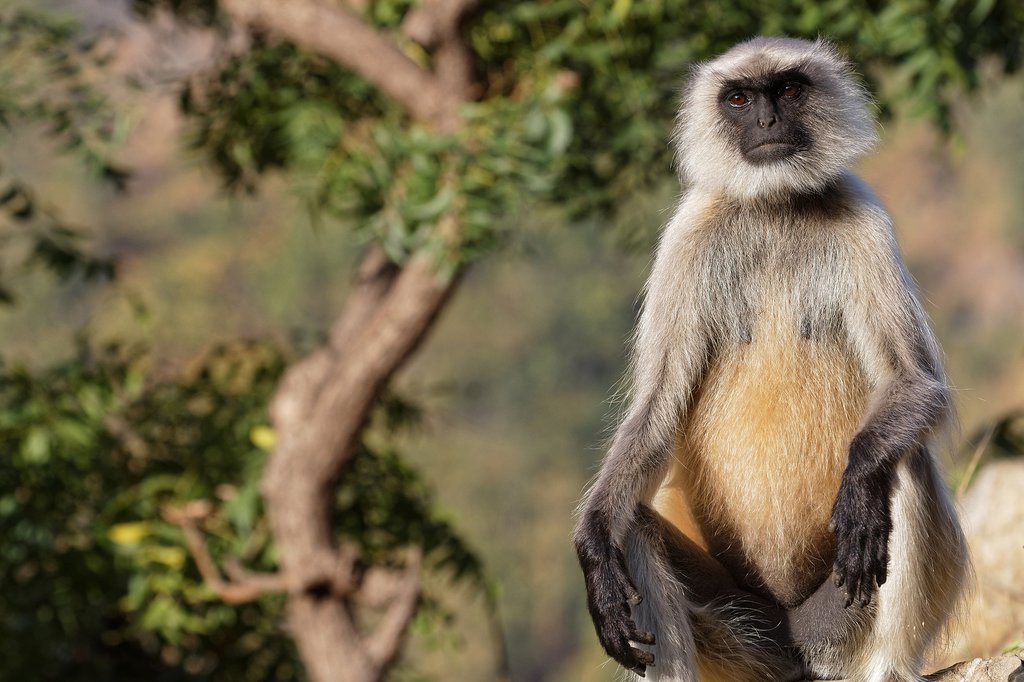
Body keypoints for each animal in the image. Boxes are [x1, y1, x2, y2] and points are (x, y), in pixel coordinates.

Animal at [572, 37, 968, 682]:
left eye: (787, 89)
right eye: (739, 98)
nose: (766, 122)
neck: (775, 206)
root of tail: (798, 647)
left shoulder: (862, 216)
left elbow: (915, 383)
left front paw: (858, 483)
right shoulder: (688, 236)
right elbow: (655, 416)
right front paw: (591, 548)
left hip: (836, 628)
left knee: (901, 462)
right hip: (752, 639)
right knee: (630, 526)